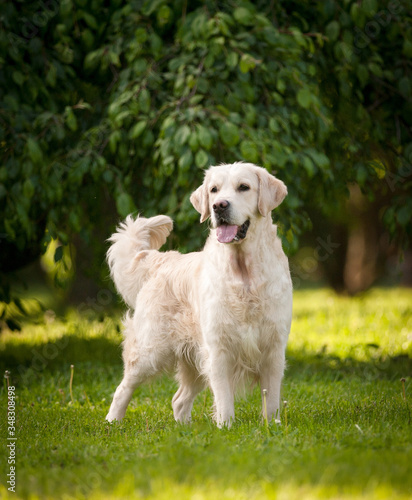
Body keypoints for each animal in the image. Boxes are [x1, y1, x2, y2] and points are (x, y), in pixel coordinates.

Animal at [106, 163, 292, 426]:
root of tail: (162, 260)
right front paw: (226, 427)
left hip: (192, 360)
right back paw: (112, 422)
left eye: (244, 187)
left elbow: (272, 398)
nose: (219, 206)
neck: (244, 274)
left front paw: (271, 426)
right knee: (123, 389)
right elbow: (224, 397)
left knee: (178, 399)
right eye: (213, 190)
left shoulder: (273, 348)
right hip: (149, 351)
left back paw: (184, 428)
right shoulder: (218, 349)